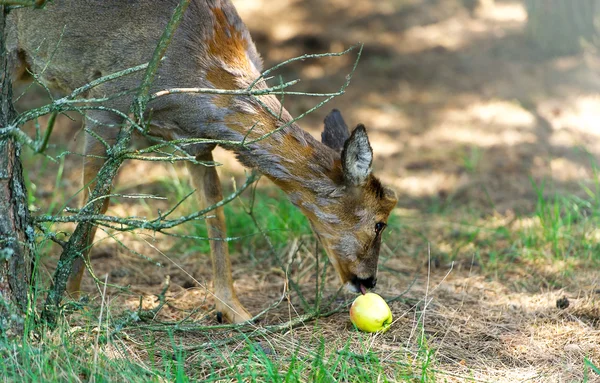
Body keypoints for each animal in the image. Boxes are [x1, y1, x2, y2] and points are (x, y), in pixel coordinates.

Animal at [8, 0, 398, 324]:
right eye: (380, 223)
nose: (369, 280)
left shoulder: (197, 145)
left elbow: (216, 217)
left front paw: (234, 310)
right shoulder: (106, 107)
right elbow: (91, 212)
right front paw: (67, 306)